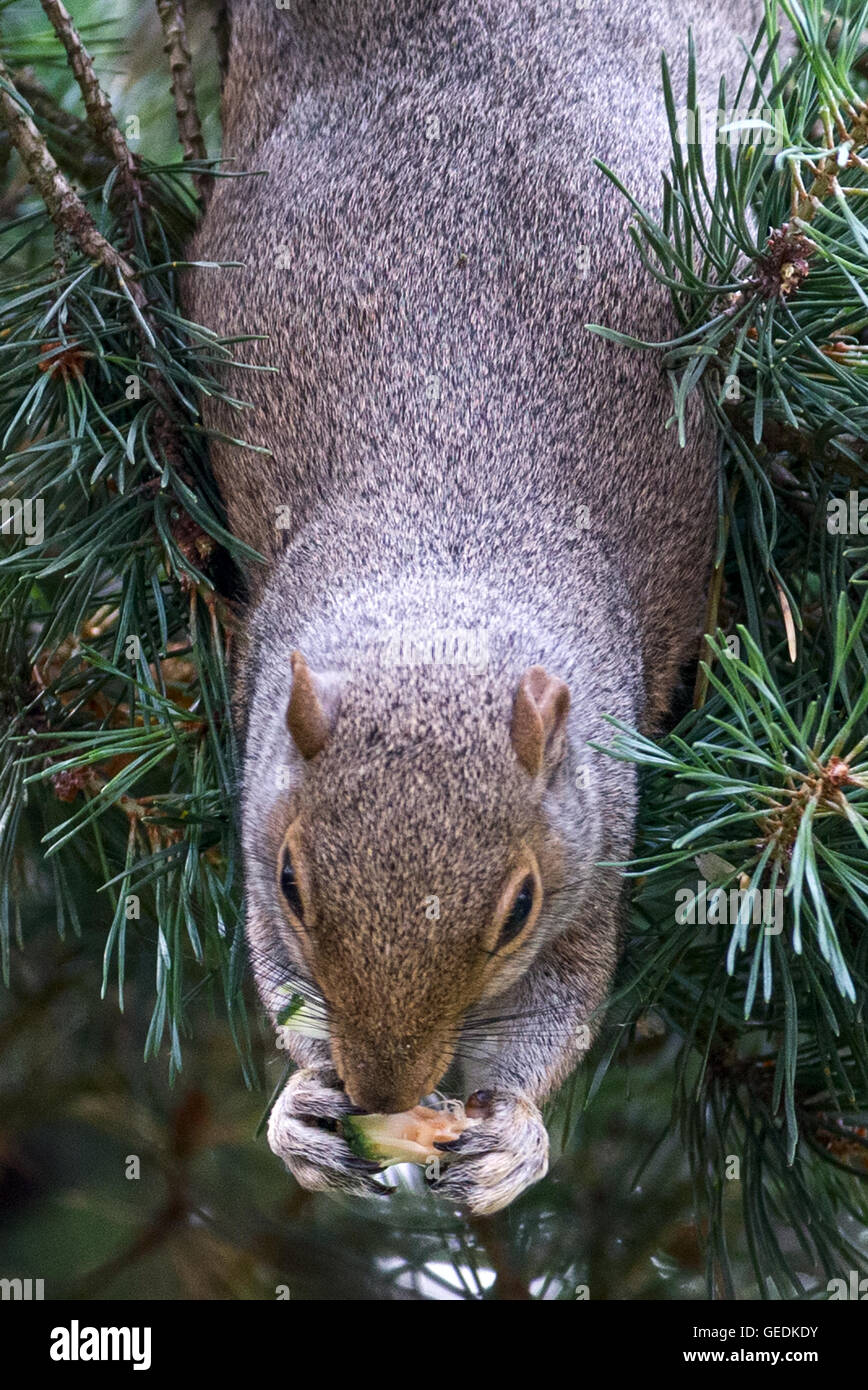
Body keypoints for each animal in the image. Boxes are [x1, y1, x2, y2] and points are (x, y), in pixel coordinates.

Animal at [184, 0, 763, 1214]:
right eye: (297, 882)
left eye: (519, 908)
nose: (382, 1087)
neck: (446, 570)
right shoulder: (258, 770)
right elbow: (275, 969)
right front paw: (300, 1109)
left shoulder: (603, 824)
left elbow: (566, 1000)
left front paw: (515, 1139)